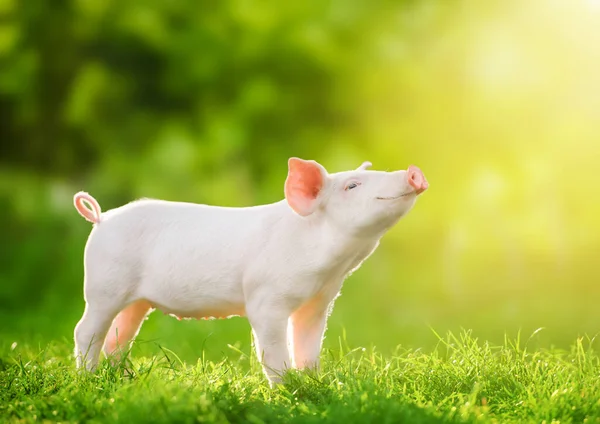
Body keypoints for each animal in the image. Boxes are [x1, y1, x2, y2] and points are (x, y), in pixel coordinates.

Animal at [72, 157, 426, 386]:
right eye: (351, 186)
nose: (413, 172)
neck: (334, 265)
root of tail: (102, 219)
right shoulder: (265, 300)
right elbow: (272, 348)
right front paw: (287, 389)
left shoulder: (319, 302)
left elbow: (308, 346)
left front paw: (314, 382)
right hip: (103, 286)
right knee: (86, 330)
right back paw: (88, 379)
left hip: (136, 302)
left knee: (118, 337)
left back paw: (123, 380)